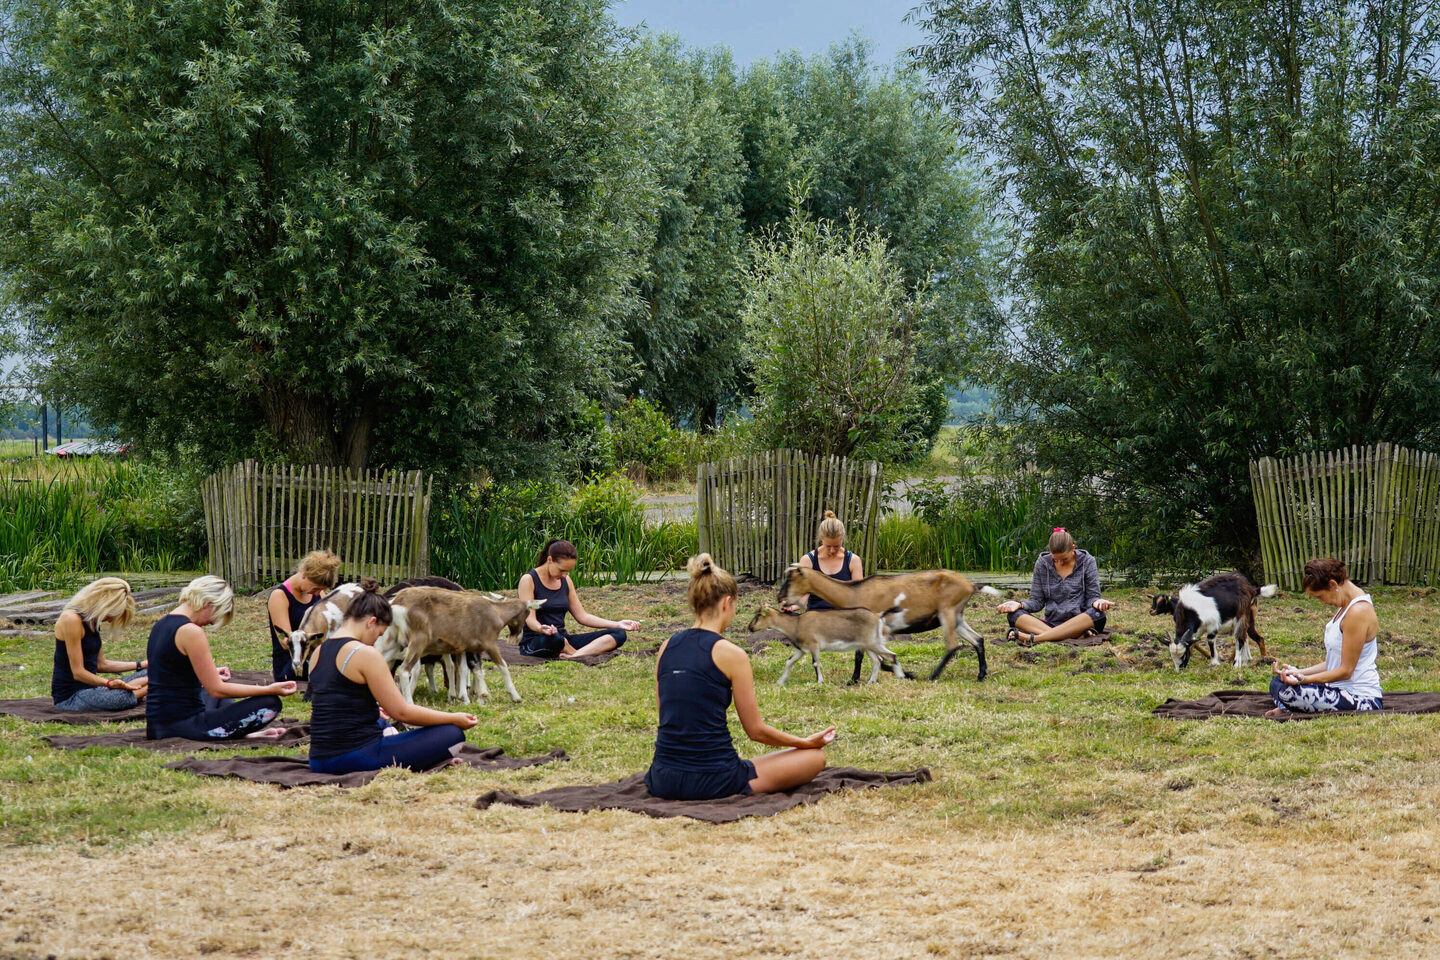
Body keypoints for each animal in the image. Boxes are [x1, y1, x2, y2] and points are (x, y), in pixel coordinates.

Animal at [385, 587, 541, 705]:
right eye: (527, 613)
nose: (519, 637)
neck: (494, 612)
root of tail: (397, 602)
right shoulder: (490, 643)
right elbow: (503, 665)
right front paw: (515, 696)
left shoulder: (463, 647)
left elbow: (464, 669)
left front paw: (468, 697)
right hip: (417, 642)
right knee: (405, 670)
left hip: (392, 642)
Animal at [748, 604, 904, 687]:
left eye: (758, 616)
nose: (750, 627)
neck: (796, 624)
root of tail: (878, 616)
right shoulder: (802, 649)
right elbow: (789, 661)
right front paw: (780, 681)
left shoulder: (814, 645)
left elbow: (815, 663)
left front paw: (820, 682)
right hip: (868, 645)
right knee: (878, 660)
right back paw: (871, 681)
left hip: (872, 642)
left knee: (891, 655)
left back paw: (900, 676)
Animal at [777, 567, 1002, 679]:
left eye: (790, 580)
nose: (780, 597)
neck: (853, 591)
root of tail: (971, 585)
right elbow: (867, 655)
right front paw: (856, 679)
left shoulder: (877, 628)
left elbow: (871, 656)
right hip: (957, 617)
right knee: (978, 639)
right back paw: (981, 674)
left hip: (947, 612)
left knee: (953, 645)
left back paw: (933, 676)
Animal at [1146, 575, 1284, 673]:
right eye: (1172, 656)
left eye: (1183, 655)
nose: (1179, 669)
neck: (1190, 610)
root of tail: (1250, 588)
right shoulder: (1197, 629)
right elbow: (1194, 643)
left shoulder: (1212, 624)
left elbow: (1210, 640)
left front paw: (1214, 662)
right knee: (1244, 637)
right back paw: (1245, 661)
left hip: (1242, 615)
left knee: (1240, 638)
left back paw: (1237, 664)